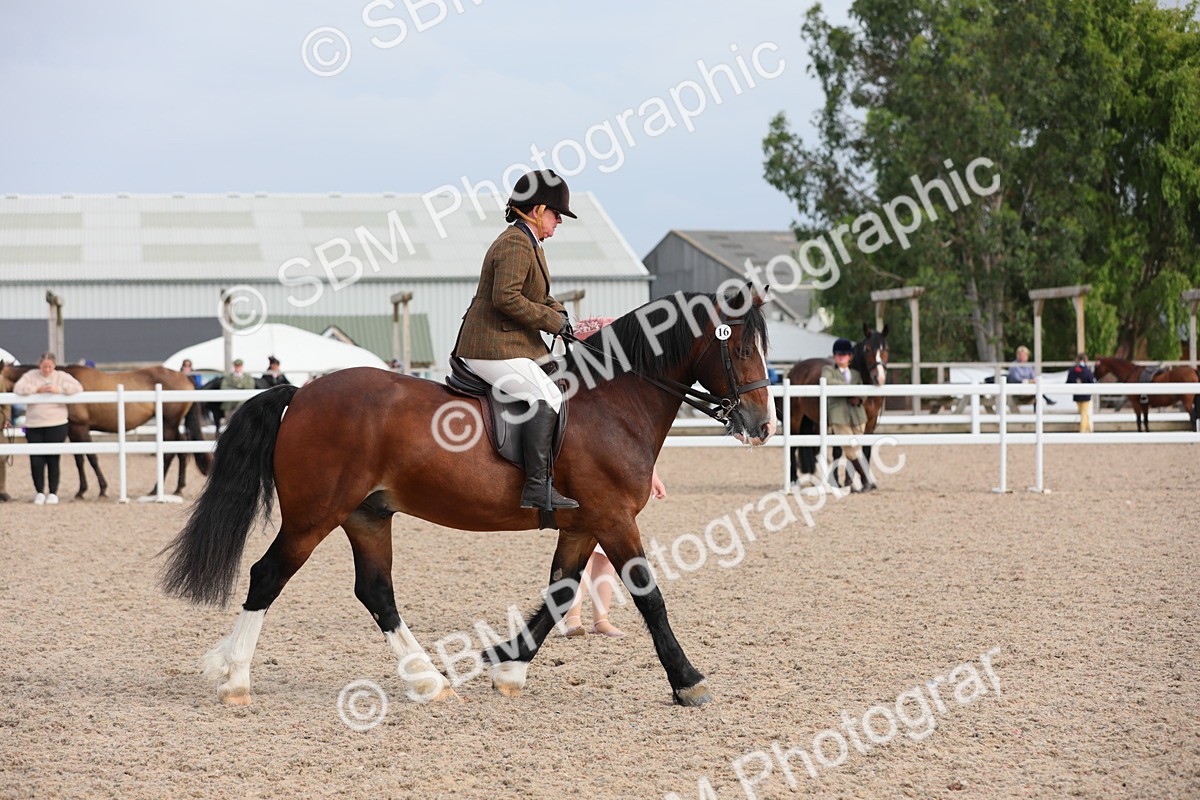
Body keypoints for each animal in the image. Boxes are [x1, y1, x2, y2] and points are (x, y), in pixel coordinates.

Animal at [0, 362, 210, 497]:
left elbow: (91, 458)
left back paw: (155, 490)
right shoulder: (73, 431)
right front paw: (82, 490)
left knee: (168, 455)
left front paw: (100, 488)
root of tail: (186, 378)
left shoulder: (80, 428)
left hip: (169, 423)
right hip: (171, 424)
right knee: (181, 451)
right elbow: (79, 460)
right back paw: (177, 488)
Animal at [158, 290, 775, 708]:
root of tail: (302, 393)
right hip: (314, 516)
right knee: (268, 576)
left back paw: (428, 680)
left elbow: (559, 594)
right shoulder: (614, 518)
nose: (761, 425)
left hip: (366, 515)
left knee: (376, 591)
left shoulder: (583, 524)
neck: (613, 401)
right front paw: (689, 682)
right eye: (742, 347)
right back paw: (236, 678)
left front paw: (507, 667)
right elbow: (649, 597)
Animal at [777, 324, 889, 488]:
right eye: (867, 349)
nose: (878, 377)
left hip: (813, 421)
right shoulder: (840, 422)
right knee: (793, 446)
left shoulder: (870, 421)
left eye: (886, 349)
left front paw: (862, 481)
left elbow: (864, 450)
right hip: (794, 419)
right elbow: (838, 451)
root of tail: (795, 370)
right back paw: (794, 481)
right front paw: (838, 481)